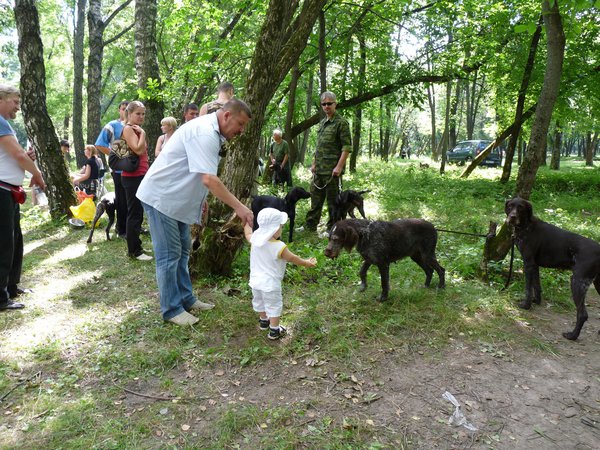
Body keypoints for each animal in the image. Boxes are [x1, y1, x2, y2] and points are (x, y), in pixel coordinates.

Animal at [506, 198, 600, 342]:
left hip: (578, 282)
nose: (512, 217)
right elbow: (537, 286)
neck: (527, 226)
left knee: (582, 314)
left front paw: (526, 305)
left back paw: (572, 335)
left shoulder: (528, 263)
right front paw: (536, 301)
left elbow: (528, 289)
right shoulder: (535, 265)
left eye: (520, 207)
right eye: (510, 206)